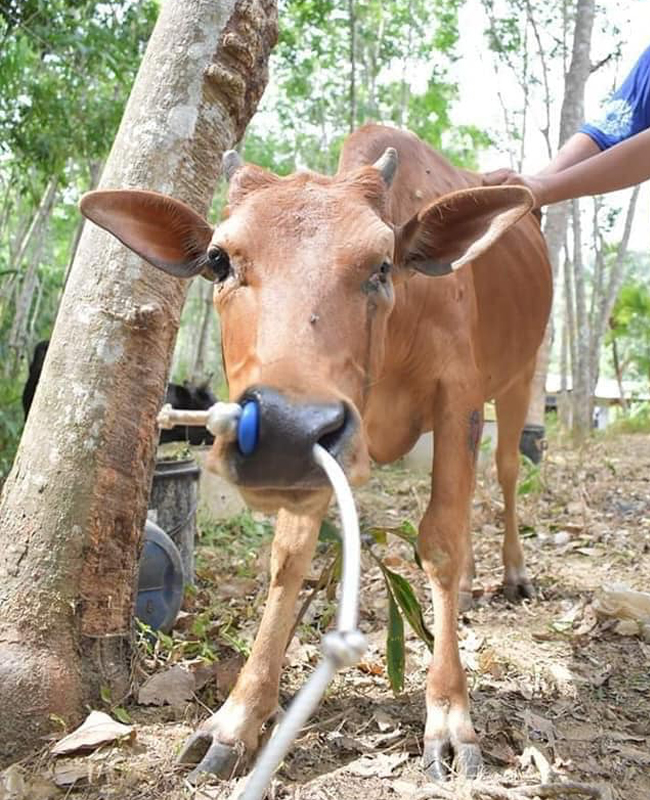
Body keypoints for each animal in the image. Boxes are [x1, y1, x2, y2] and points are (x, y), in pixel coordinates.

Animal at [78, 125, 548, 780]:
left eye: (383, 264)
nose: (284, 429)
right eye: (219, 260)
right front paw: (238, 718)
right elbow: (288, 558)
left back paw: (512, 571)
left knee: (504, 474)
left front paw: (450, 715)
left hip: (520, 377)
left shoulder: (458, 397)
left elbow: (440, 545)